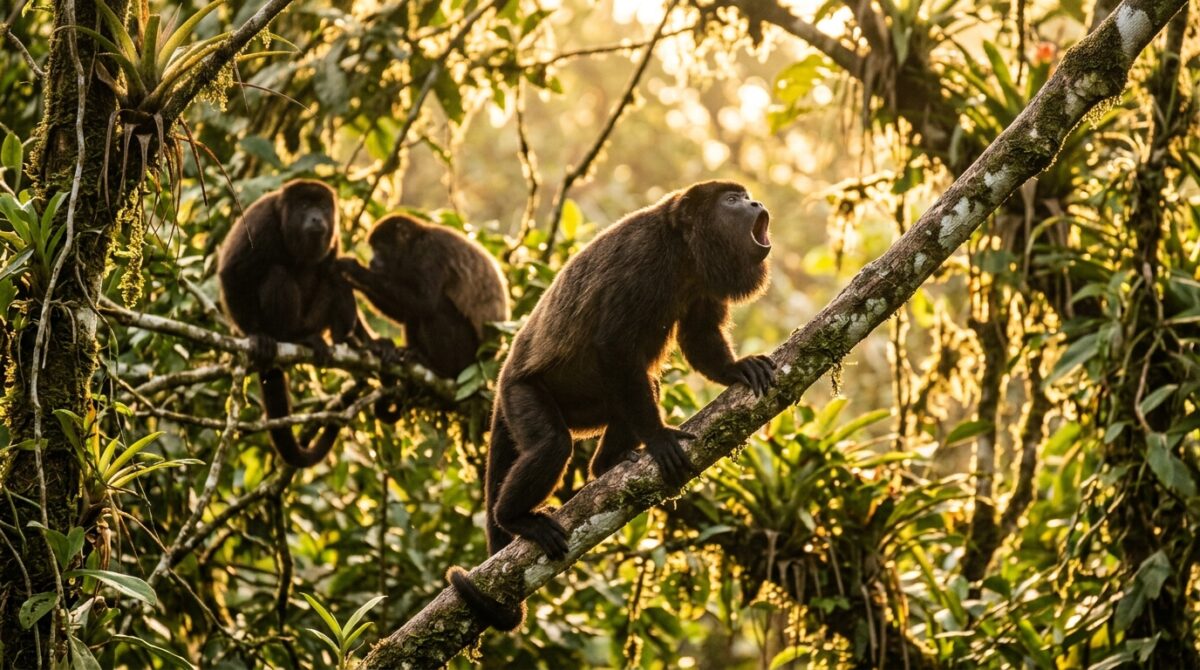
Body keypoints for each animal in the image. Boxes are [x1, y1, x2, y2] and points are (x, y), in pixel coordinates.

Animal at [217, 178, 366, 468]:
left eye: (322, 206)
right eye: (305, 205)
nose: (317, 217)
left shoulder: (333, 237)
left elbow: (336, 266)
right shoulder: (260, 221)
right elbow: (232, 272)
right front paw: (256, 336)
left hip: (314, 320)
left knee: (334, 272)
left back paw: (340, 339)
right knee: (277, 273)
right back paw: (290, 338)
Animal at [336, 214, 510, 418]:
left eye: (379, 248)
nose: (372, 261)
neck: (413, 245)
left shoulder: (430, 254)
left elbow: (424, 302)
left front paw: (356, 270)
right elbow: (404, 312)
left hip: (468, 361)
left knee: (437, 308)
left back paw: (438, 368)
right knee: (413, 315)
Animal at [447, 180, 777, 631]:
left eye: (744, 196)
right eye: (731, 200)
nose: (756, 202)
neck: (683, 250)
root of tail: (501, 380)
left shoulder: (701, 281)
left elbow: (699, 336)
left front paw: (736, 369)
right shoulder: (643, 259)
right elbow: (615, 345)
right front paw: (658, 439)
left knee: (643, 388)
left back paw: (607, 465)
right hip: (521, 393)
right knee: (553, 443)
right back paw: (514, 518)